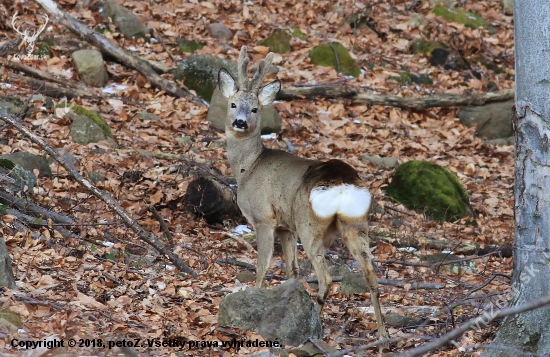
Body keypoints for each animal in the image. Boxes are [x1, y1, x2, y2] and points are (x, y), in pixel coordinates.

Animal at [218, 46, 390, 344]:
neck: (247, 167)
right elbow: (293, 271)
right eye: (233, 104)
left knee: (326, 278)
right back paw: (382, 336)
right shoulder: (286, 227)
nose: (240, 122)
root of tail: (342, 184)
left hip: (310, 223)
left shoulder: (264, 218)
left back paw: (316, 326)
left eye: (255, 108)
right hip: (355, 224)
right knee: (371, 276)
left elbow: (262, 266)